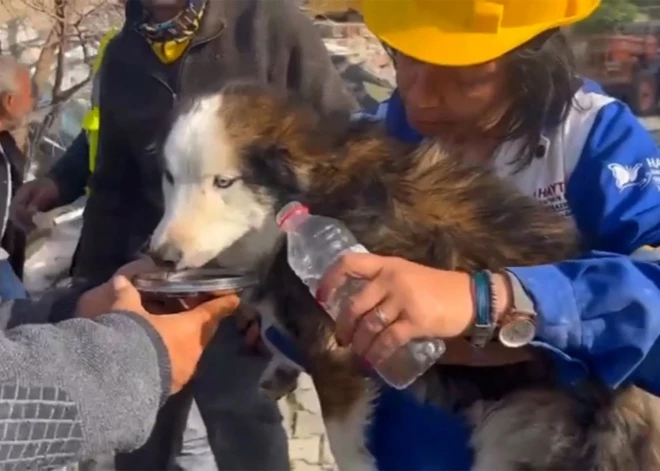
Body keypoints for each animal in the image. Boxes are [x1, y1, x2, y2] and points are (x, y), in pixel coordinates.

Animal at [150, 82, 660, 471]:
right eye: (170, 178)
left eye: (224, 182)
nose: (159, 256)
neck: (309, 191)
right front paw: (279, 367)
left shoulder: (338, 347)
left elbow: (344, 440)